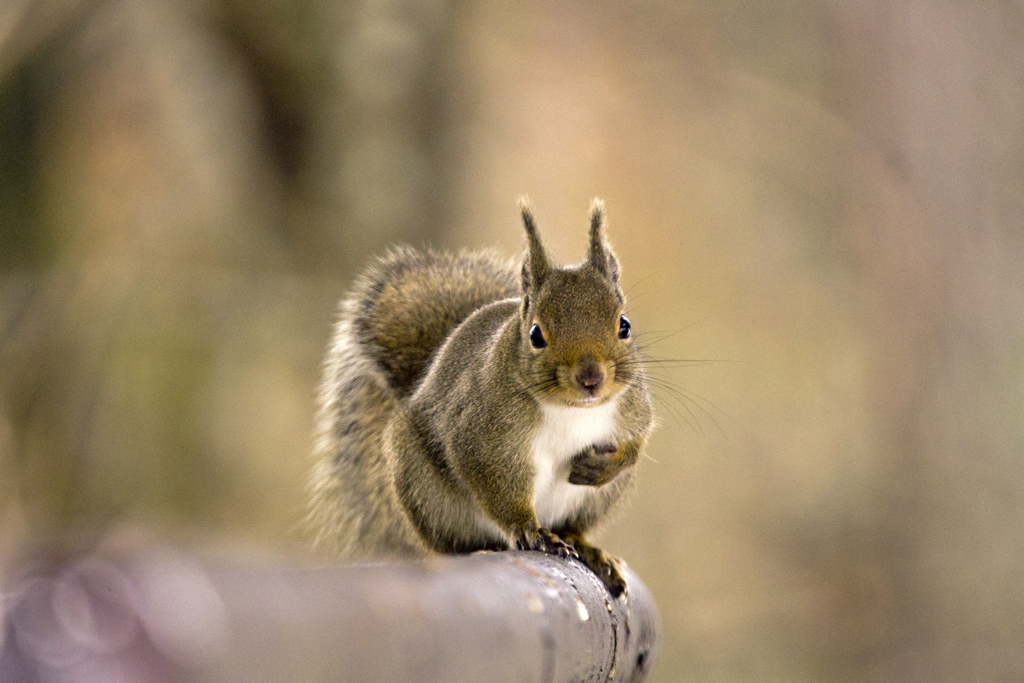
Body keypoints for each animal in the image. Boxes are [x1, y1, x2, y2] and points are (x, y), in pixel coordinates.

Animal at [307, 198, 651, 598]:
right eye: (536, 334)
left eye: (624, 325)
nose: (591, 379)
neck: (571, 409)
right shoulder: (482, 435)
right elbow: (494, 484)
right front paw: (528, 530)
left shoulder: (633, 407)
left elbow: (637, 441)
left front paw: (605, 465)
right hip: (427, 493)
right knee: (455, 542)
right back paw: (485, 546)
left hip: (596, 500)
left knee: (572, 526)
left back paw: (588, 548)